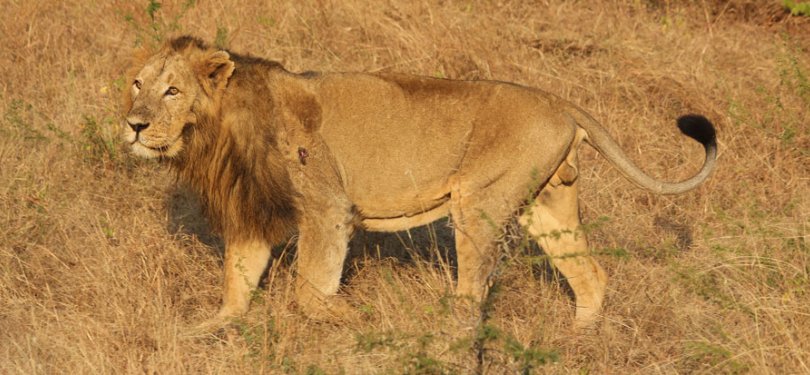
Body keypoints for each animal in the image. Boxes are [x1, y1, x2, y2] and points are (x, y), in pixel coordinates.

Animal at [124, 36, 712, 328]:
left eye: (172, 91)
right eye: (136, 84)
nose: (133, 125)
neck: (215, 136)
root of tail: (560, 101)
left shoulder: (326, 206)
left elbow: (309, 290)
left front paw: (353, 316)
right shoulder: (251, 212)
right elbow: (237, 282)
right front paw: (207, 330)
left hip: (479, 201)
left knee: (473, 292)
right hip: (548, 203)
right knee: (590, 276)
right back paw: (579, 339)